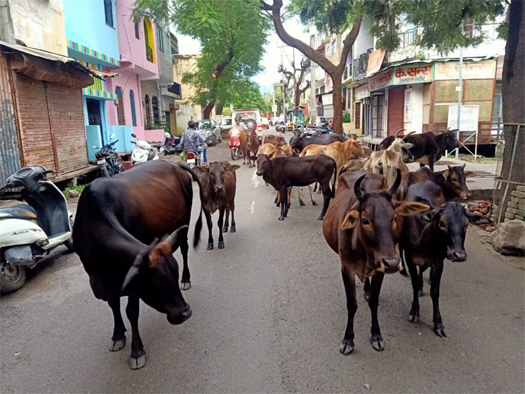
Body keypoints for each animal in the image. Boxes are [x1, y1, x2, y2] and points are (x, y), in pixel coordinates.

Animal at [73, 160, 203, 370]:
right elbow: (113, 304)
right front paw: (118, 335)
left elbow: (132, 312)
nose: (186, 313)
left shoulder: (133, 283)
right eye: (157, 282)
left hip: (185, 222)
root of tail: (173, 163)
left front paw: (137, 351)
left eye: (173, 276)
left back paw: (187, 278)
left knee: (184, 248)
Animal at [322, 171, 428, 356]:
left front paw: (376, 335)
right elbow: (352, 304)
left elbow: (374, 302)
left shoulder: (380, 269)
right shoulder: (346, 268)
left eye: (394, 218)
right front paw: (348, 339)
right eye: (365, 220)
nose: (392, 263)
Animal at [402, 180, 492, 338]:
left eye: (466, 224)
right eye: (442, 223)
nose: (459, 255)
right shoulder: (409, 257)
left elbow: (435, 291)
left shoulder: (439, 262)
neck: (424, 239)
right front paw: (414, 311)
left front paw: (438, 323)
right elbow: (414, 283)